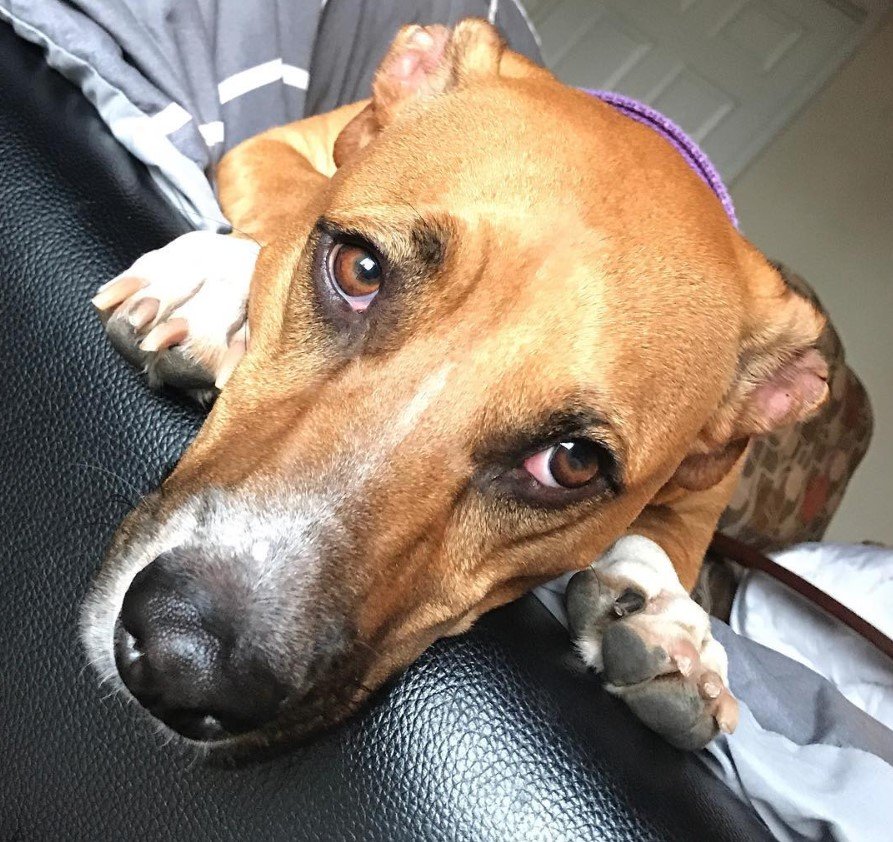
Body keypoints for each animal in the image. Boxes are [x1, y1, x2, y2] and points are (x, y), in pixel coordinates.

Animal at [82, 19, 824, 752]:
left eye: (572, 463)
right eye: (358, 269)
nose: (182, 663)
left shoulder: (710, 485)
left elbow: (670, 538)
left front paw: (670, 621)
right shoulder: (271, 148)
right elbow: (295, 196)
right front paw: (221, 282)